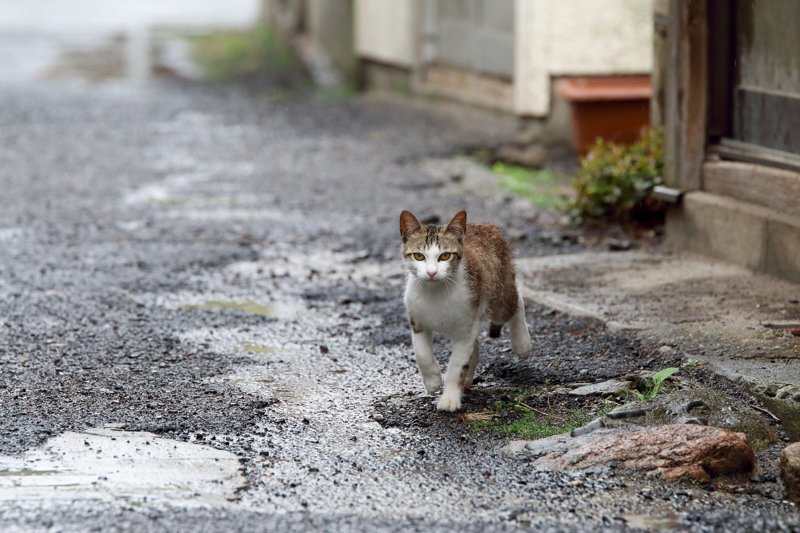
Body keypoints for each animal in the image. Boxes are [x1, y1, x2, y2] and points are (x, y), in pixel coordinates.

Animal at [398, 210, 532, 410]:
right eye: (419, 256)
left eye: (445, 256)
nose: (431, 273)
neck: (436, 292)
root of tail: (486, 225)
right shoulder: (416, 317)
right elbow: (421, 353)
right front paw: (433, 381)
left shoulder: (465, 329)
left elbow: (457, 365)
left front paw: (449, 398)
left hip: (499, 294)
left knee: (515, 302)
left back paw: (522, 344)